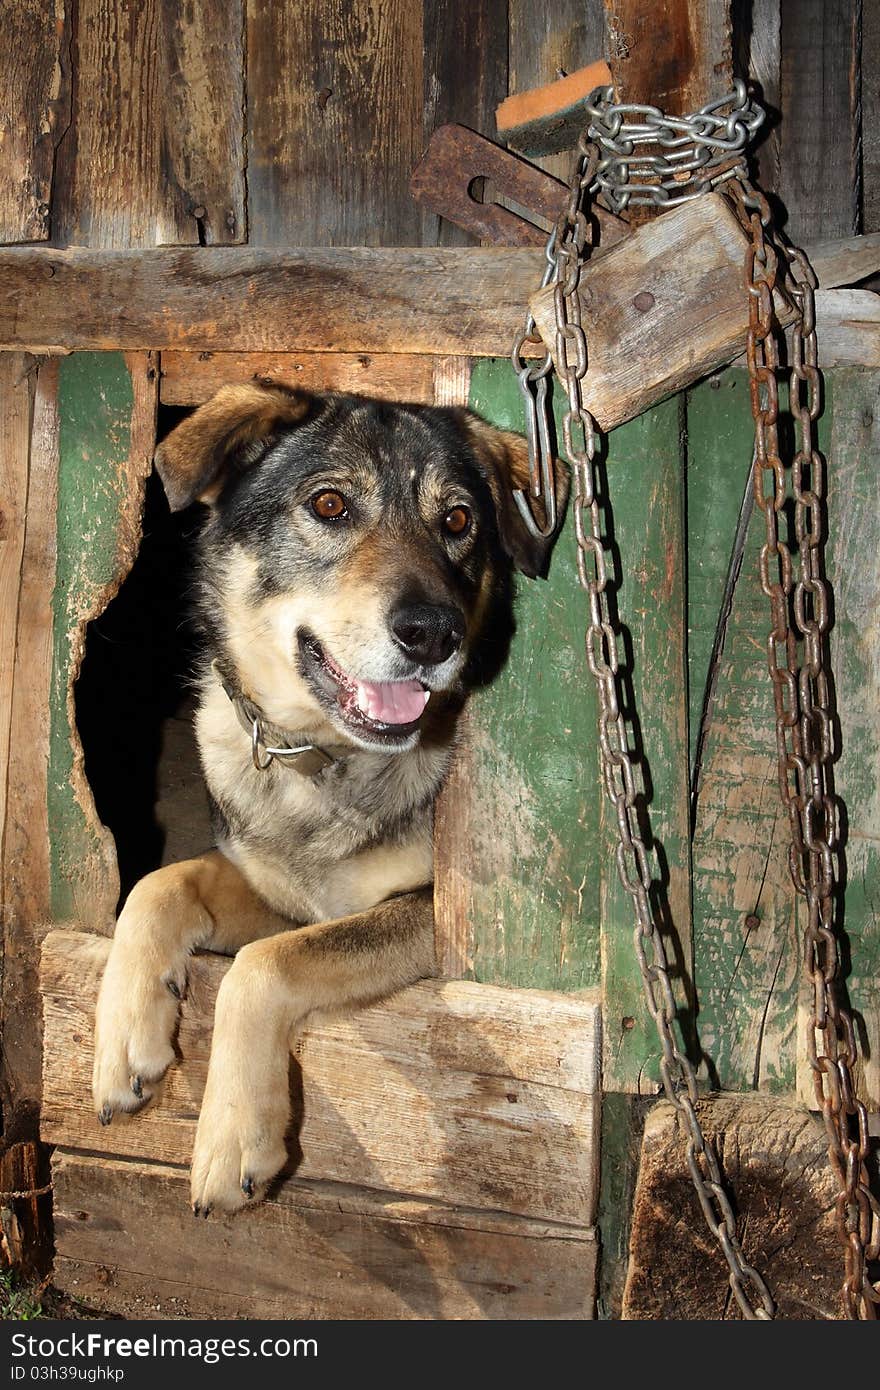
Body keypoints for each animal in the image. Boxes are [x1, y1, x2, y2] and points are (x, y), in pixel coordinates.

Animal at [92, 383, 567, 1217]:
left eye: (457, 522)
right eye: (330, 504)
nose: (432, 634)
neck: (321, 760)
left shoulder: (423, 917)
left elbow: (261, 966)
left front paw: (231, 1141)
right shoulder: (280, 892)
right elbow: (158, 883)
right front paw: (123, 1043)